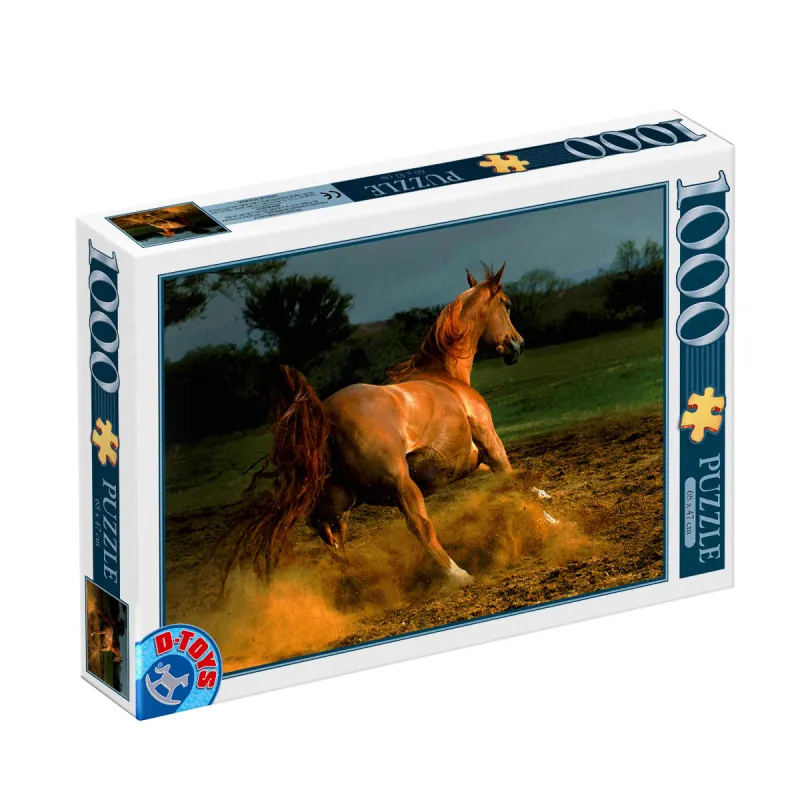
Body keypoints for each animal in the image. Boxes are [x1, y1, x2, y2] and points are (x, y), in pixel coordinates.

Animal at [231, 263, 524, 586]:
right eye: (507, 304)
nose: (518, 344)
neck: (446, 377)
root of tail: (326, 416)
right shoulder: (490, 442)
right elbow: (514, 480)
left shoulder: (474, 460)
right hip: (400, 486)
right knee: (418, 526)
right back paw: (457, 575)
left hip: (342, 499)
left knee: (329, 534)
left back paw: (354, 579)